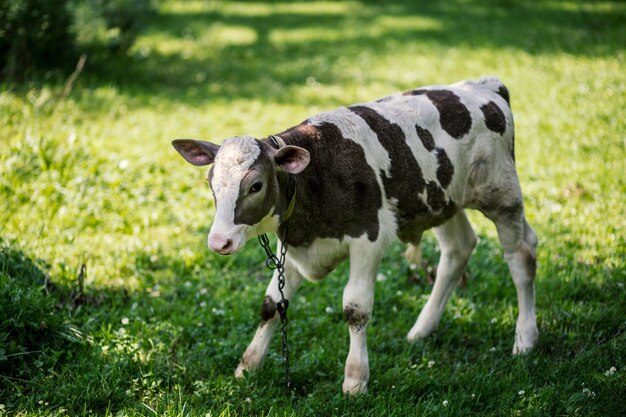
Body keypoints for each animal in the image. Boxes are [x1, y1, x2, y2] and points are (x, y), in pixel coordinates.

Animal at [172, 76, 536, 392]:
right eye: (211, 183)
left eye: (256, 185)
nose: (219, 242)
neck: (315, 176)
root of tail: (482, 85)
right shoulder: (291, 243)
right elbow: (272, 304)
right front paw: (248, 365)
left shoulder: (368, 240)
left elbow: (355, 308)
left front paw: (355, 378)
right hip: (442, 200)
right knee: (458, 249)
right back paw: (421, 330)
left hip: (502, 194)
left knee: (521, 255)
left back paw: (525, 339)